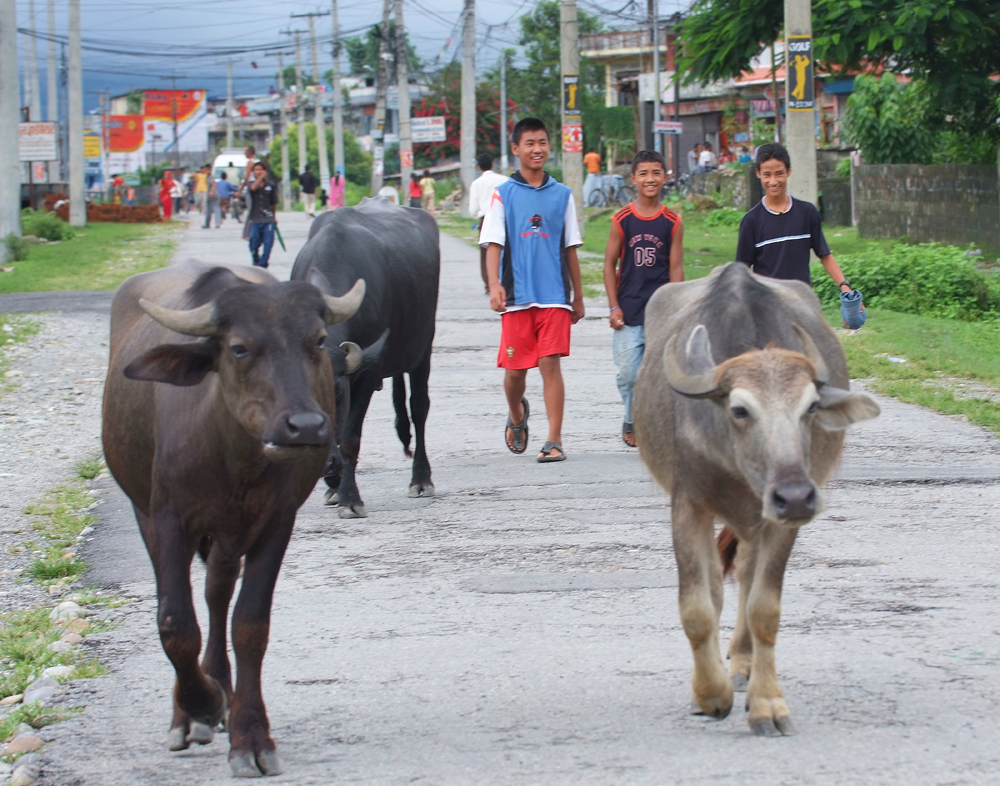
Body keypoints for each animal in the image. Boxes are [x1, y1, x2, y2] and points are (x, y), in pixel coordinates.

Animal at [101, 260, 366, 776]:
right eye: (239, 347)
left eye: (318, 339)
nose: (305, 427)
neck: (232, 458)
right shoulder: (166, 520)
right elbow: (175, 623)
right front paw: (199, 707)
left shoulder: (274, 524)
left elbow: (249, 625)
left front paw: (251, 735)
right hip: (158, 515)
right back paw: (197, 707)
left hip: (227, 536)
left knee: (218, 594)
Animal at [292, 196, 442, 516]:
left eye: (336, 390)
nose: (327, 464)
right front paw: (334, 485)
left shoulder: (366, 375)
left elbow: (350, 439)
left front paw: (349, 498)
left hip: (423, 347)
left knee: (419, 407)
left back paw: (421, 480)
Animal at [636, 262, 880, 736]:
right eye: (740, 409)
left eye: (810, 407)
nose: (796, 496)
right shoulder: (688, 505)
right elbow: (698, 607)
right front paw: (710, 695)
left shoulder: (780, 523)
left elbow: (764, 610)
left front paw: (767, 704)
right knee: (718, 586)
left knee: (746, 577)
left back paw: (744, 663)